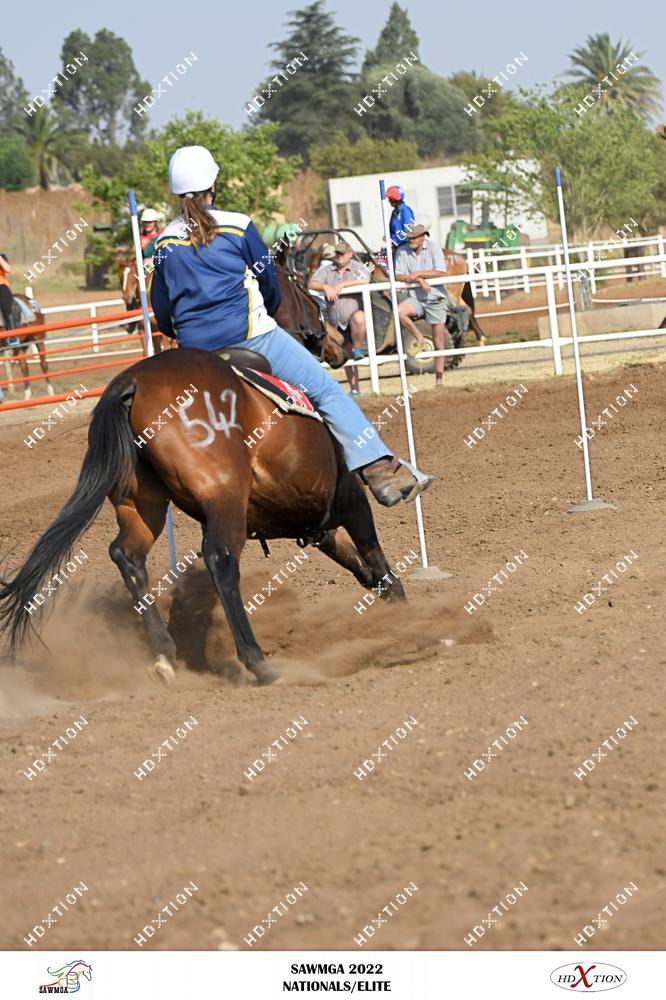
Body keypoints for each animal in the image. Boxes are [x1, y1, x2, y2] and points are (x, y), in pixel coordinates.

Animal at [0, 347, 406, 685]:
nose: (334, 344)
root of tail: (131, 383)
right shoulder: (349, 499)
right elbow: (373, 552)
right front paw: (404, 608)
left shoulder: (319, 525)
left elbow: (360, 565)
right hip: (224, 498)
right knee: (220, 560)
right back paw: (258, 663)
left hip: (141, 504)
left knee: (127, 555)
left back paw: (165, 654)